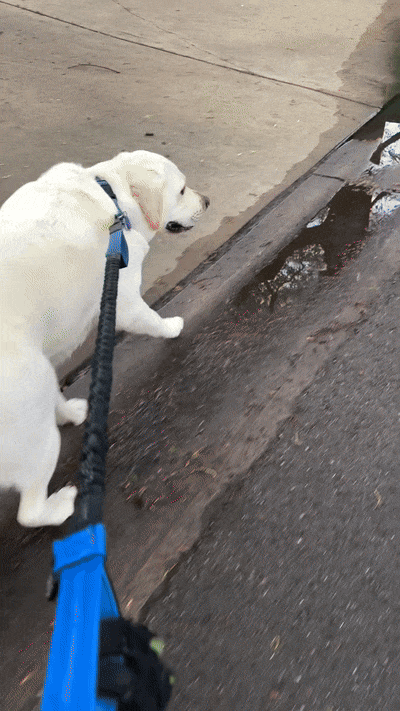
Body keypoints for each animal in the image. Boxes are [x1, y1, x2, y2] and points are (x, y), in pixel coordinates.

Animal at [0, 150, 209, 527]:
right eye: (183, 190)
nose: (208, 201)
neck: (112, 198)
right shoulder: (124, 298)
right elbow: (151, 319)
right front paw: (172, 326)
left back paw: (71, 411)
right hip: (33, 413)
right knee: (30, 512)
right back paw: (63, 503)